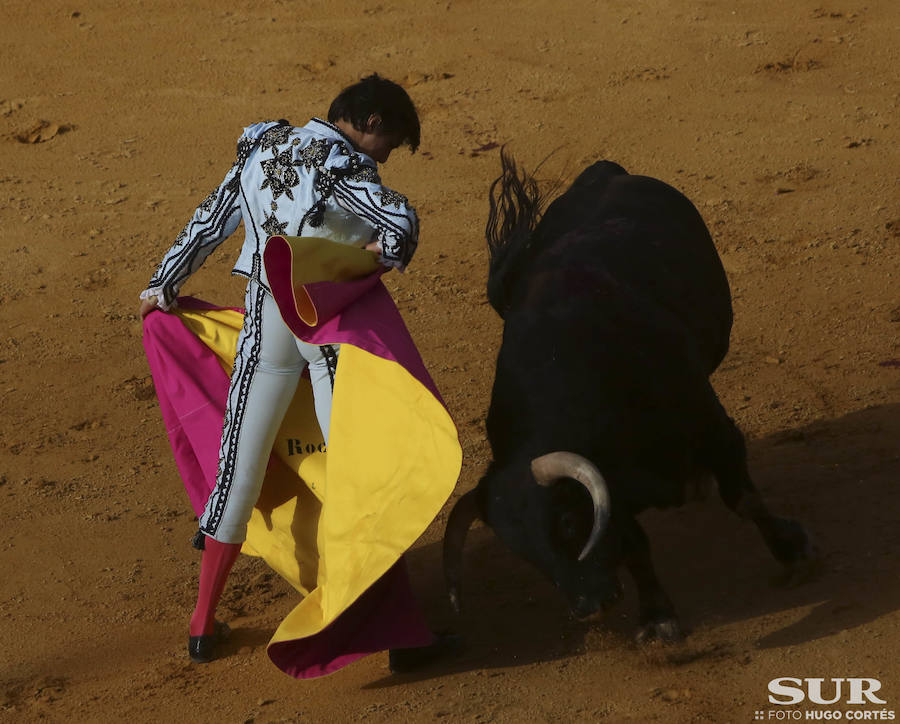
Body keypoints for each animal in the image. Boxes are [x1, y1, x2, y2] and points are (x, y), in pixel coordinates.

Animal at [442, 153, 816, 640]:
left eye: (566, 520)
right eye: (521, 550)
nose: (589, 608)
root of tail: (604, 173)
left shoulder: (716, 430)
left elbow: (743, 498)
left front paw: (793, 552)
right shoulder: (614, 495)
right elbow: (635, 545)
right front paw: (657, 616)